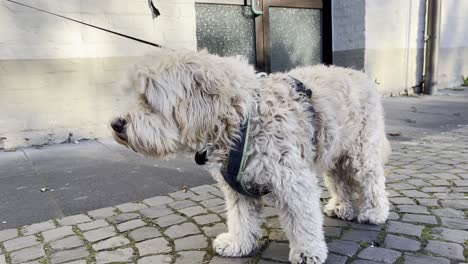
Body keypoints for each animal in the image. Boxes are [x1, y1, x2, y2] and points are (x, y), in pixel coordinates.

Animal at [110, 48, 392, 262]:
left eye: (147, 99)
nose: (115, 124)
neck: (240, 117)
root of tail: (359, 74)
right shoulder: (236, 187)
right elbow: (241, 219)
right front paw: (238, 244)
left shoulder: (292, 181)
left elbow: (303, 221)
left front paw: (307, 252)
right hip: (334, 153)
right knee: (341, 181)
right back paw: (343, 206)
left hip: (361, 151)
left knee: (372, 182)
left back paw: (375, 212)